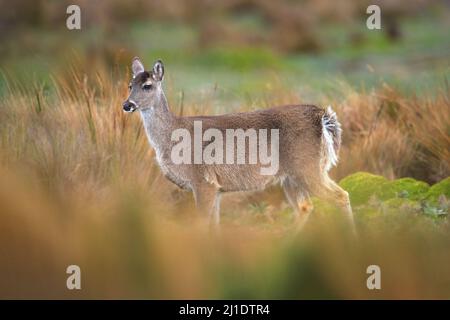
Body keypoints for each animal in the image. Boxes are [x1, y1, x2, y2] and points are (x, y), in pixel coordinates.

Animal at [122, 57, 356, 232]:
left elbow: (201, 225)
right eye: (130, 85)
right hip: (292, 176)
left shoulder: (203, 181)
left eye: (147, 86)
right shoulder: (216, 188)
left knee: (341, 196)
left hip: (308, 168)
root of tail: (323, 117)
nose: (127, 105)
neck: (172, 138)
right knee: (306, 207)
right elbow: (214, 226)